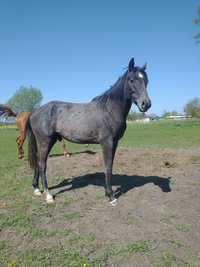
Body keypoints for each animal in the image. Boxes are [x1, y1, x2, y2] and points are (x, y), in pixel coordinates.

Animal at [27, 58, 151, 205]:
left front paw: (108, 193)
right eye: (131, 80)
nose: (146, 104)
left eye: (146, 81)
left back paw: (36, 189)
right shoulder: (107, 143)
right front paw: (111, 196)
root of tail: (34, 112)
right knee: (42, 165)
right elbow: (107, 167)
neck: (109, 110)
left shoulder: (114, 143)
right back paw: (48, 195)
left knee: (38, 162)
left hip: (48, 141)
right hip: (45, 141)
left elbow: (110, 166)